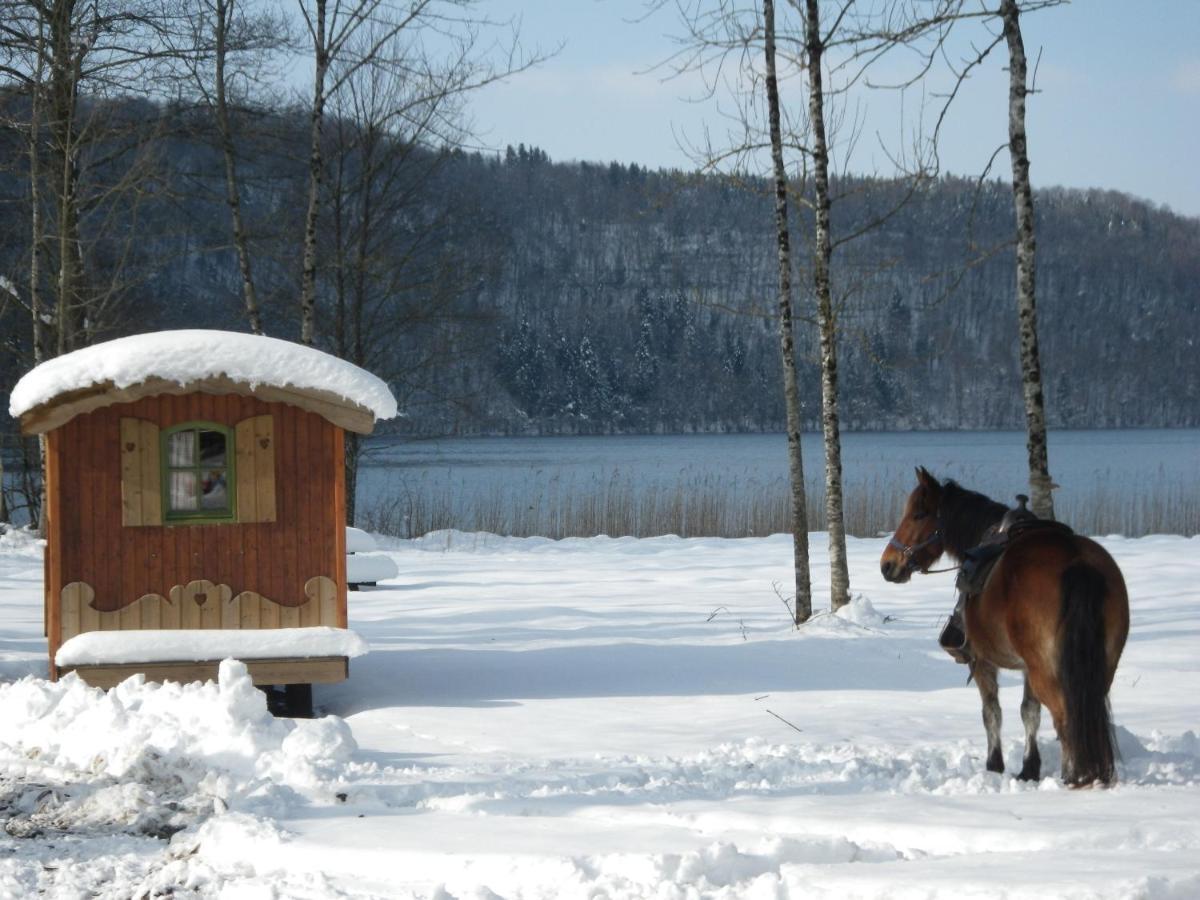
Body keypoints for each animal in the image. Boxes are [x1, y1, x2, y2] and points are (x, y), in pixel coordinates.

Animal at [878, 468, 1128, 787]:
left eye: (918, 514)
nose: (888, 565)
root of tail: (1077, 561)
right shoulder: (1027, 668)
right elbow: (1029, 712)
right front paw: (1029, 768)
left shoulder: (982, 661)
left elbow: (992, 712)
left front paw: (994, 764)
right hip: (1099, 665)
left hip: (1048, 671)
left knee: (1065, 716)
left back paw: (1073, 777)